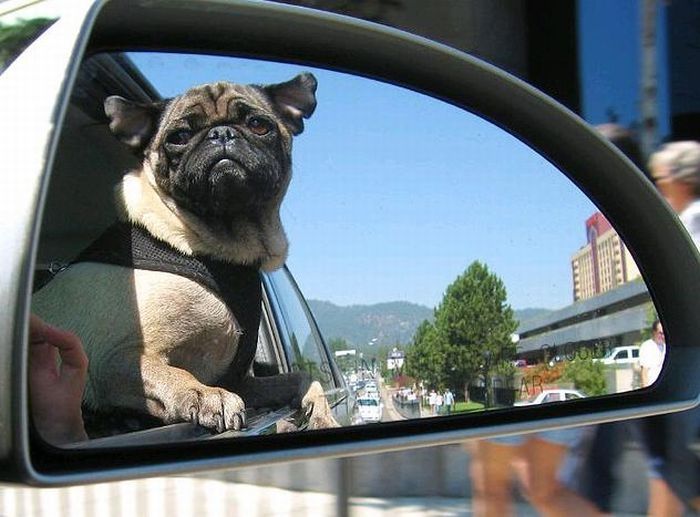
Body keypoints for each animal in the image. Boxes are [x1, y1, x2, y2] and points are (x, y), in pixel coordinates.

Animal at [32, 72, 340, 434]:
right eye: (178, 137)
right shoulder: (116, 360)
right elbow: (172, 372)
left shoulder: (241, 380)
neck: (217, 252)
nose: (222, 133)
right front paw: (204, 394)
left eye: (258, 125)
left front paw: (321, 411)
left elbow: (300, 377)